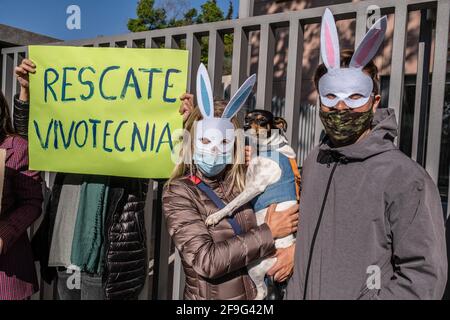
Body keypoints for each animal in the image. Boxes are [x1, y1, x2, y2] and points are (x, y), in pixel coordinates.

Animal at [207, 109, 298, 298]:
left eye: (262, 120)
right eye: (247, 117)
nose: (246, 125)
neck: (266, 149)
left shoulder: (254, 187)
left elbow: (232, 203)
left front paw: (215, 216)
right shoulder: (248, 182)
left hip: (254, 267)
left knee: (263, 292)